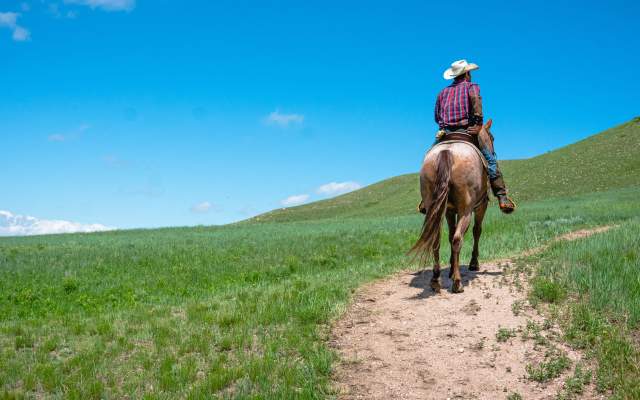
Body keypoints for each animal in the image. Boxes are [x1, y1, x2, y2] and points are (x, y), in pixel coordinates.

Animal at [410, 120, 496, 292]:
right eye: (492, 138)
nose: (493, 153)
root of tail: (447, 152)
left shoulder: (449, 211)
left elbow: (449, 235)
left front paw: (450, 268)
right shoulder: (481, 206)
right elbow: (476, 231)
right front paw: (473, 264)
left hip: (435, 207)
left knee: (436, 239)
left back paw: (435, 280)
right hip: (466, 210)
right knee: (458, 238)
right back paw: (457, 282)